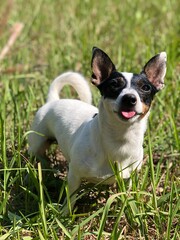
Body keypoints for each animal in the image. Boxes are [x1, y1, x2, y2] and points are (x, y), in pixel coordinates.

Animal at [27, 47, 167, 208]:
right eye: (113, 85)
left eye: (145, 87)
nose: (129, 98)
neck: (120, 139)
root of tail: (53, 100)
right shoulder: (74, 176)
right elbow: (71, 199)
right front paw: (66, 212)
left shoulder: (128, 178)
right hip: (37, 142)